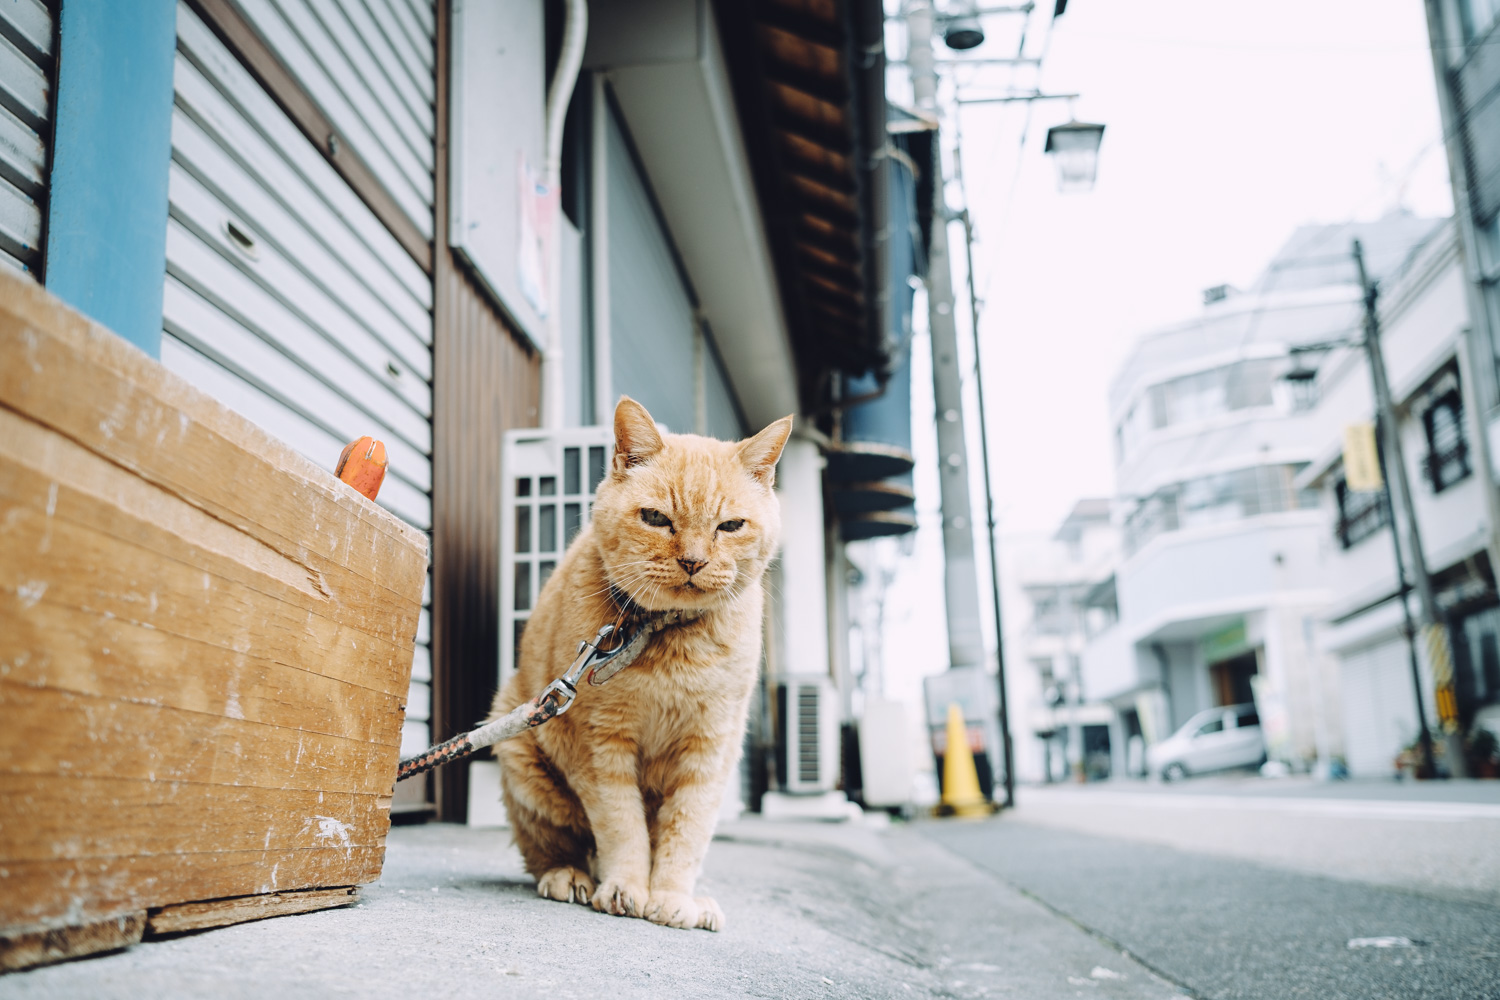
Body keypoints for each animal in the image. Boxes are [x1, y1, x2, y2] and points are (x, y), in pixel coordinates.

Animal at [492, 395, 798, 929]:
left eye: (730, 526)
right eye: (656, 518)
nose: (694, 561)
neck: (668, 636)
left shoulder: (710, 748)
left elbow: (687, 829)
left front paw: (673, 898)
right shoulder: (599, 746)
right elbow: (622, 825)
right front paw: (627, 887)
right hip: (524, 760)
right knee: (552, 851)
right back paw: (569, 876)